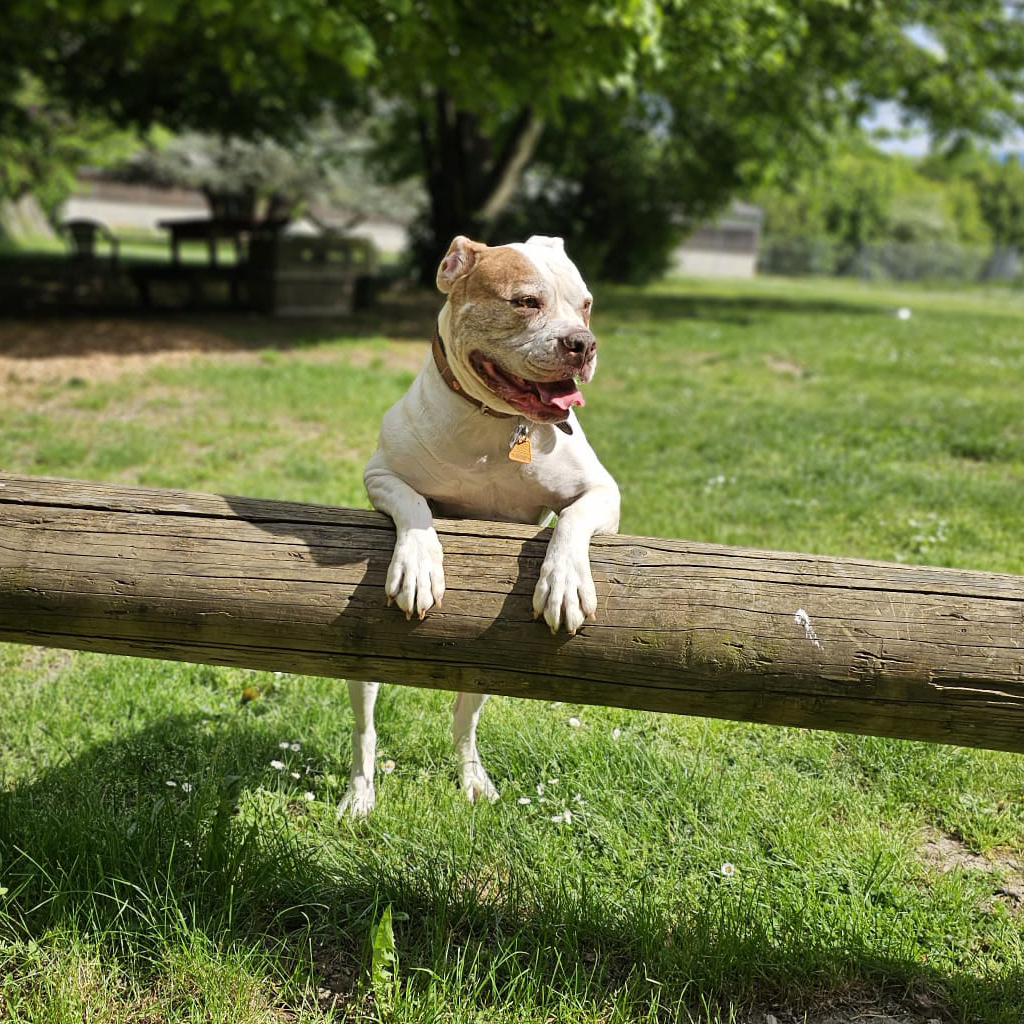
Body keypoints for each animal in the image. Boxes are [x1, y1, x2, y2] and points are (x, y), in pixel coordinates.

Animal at [339, 235, 618, 819]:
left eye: (585, 305)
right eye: (526, 302)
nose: (583, 343)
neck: (495, 426)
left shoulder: (604, 493)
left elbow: (573, 518)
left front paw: (564, 583)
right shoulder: (382, 473)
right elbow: (414, 506)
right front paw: (419, 567)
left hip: (489, 661)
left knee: (463, 718)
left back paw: (473, 780)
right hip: (360, 666)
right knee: (365, 730)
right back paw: (360, 793)